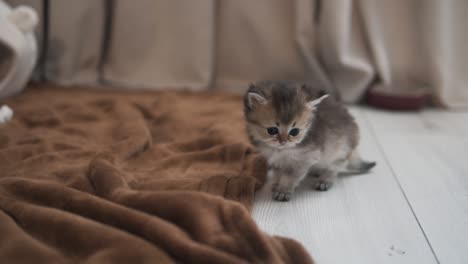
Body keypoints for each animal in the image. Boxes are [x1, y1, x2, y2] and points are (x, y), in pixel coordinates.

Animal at [243, 79, 374, 201]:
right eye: (272, 130)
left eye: (294, 132)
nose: (283, 142)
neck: (281, 151)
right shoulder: (276, 160)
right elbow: (277, 173)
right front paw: (276, 183)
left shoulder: (303, 159)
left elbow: (289, 177)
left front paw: (283, 190)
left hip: (339, 151)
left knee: (334, 167)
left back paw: (325, 180)